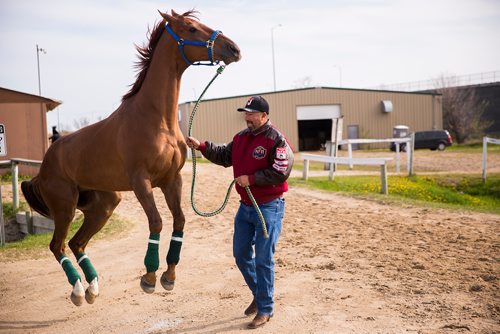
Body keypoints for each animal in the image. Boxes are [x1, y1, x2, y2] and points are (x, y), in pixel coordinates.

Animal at [22, 8, 241, 306]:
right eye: (191, 28)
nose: (233, 48)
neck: (157, 118)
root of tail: (45, 164)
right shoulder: (141, 182)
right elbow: (157, 222)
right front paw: (149, 277)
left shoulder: (172, 181)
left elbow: (180, 221)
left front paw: (169, 276)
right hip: (64, 207)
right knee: (58, 245)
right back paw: (78, 290)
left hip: (104, 206)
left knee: (77, 243)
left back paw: (92, 287)